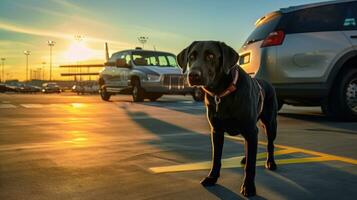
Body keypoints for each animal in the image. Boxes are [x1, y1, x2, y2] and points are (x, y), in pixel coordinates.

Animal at [177, 41, 276, 197]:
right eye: (191, 56)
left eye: (211, 56)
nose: (193, 75)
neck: (221, 93)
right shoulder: (217, 131)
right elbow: (216, 158)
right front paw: (212, 178)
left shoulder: (250, 130)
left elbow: (251, 165)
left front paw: (248, 187)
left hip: (270, 124)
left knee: (270, 144)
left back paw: (271, 162)